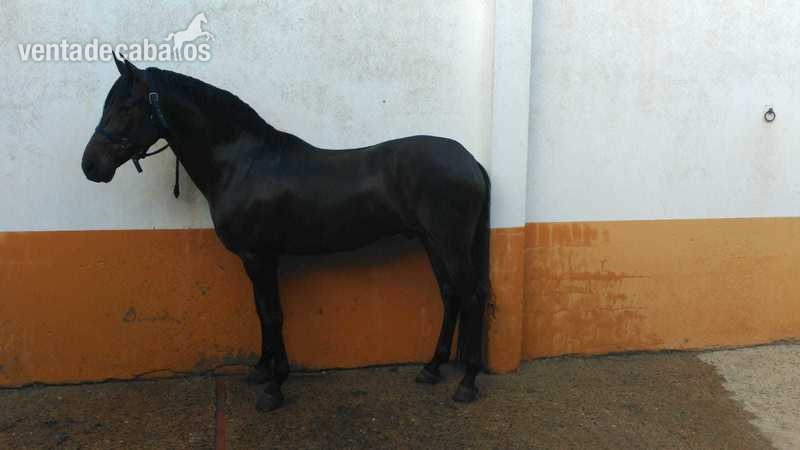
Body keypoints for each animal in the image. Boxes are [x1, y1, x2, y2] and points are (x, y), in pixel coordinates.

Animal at [81, 55, 492, 412]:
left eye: (127, 107)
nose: (90, 165)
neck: (243, 163)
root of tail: (470, 160)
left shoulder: (259, 257)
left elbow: (272, 314)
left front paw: (274, 387)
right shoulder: (256, 259)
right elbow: (261, 312)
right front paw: (262, 371)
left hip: (450, 244)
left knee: (472, 297)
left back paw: (467, 382)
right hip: (432, 242)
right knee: (450, 295)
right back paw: (432, 369)